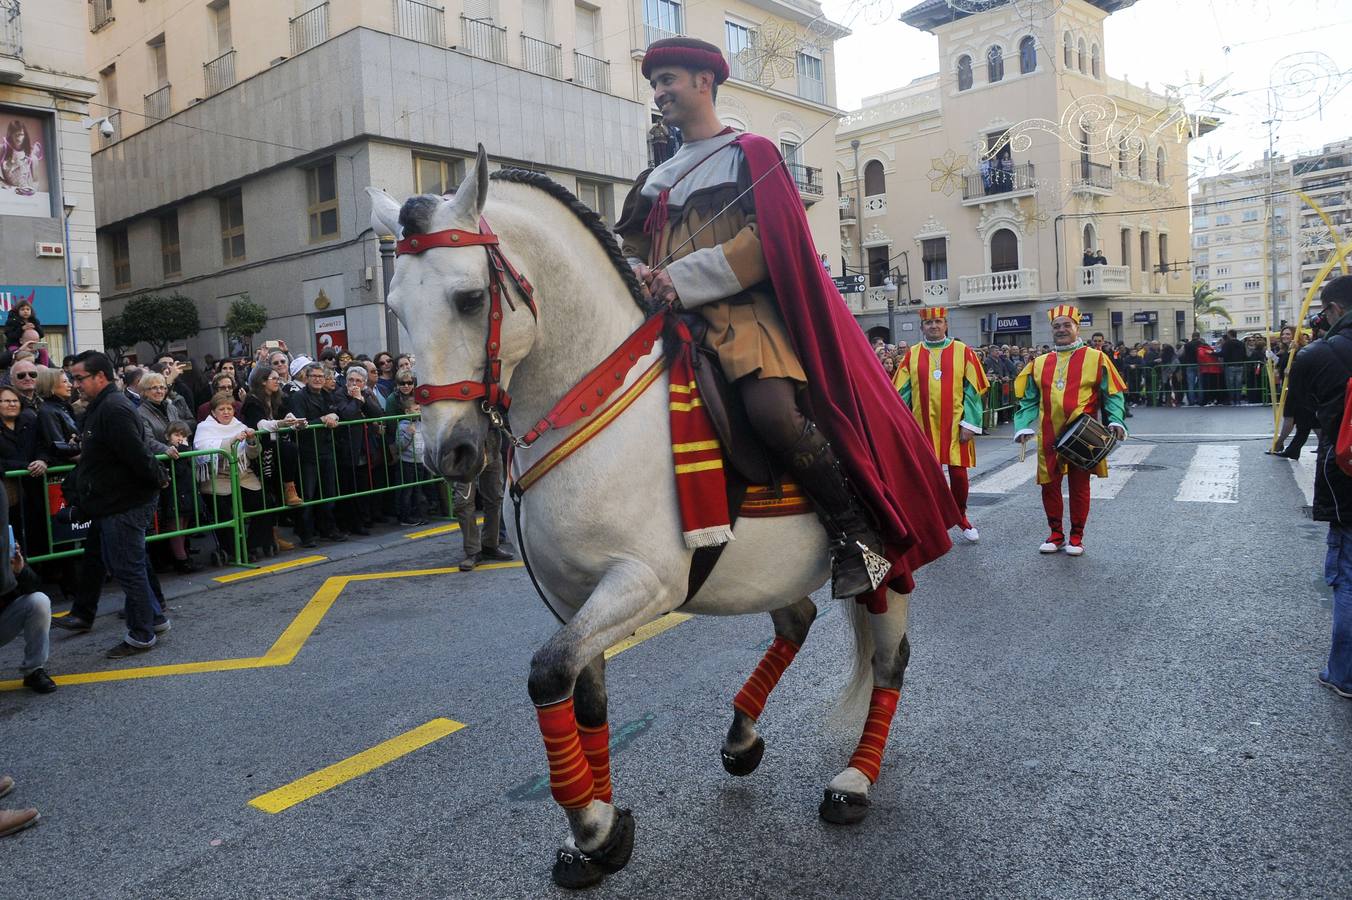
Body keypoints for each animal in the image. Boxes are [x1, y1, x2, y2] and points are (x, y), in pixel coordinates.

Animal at [370, 147, 913, 881]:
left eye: (470, 298)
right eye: (395, 307)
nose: (448, 450)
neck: (592, 395)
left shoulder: (646, 581)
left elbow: (548, 673)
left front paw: (593, 824)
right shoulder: (573, 598)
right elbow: (582, 693)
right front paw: (595, 834)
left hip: (893, 560)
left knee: (888, 660)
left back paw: (855, 779)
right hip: (772, 569)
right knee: (796, 621)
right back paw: (742, 735)